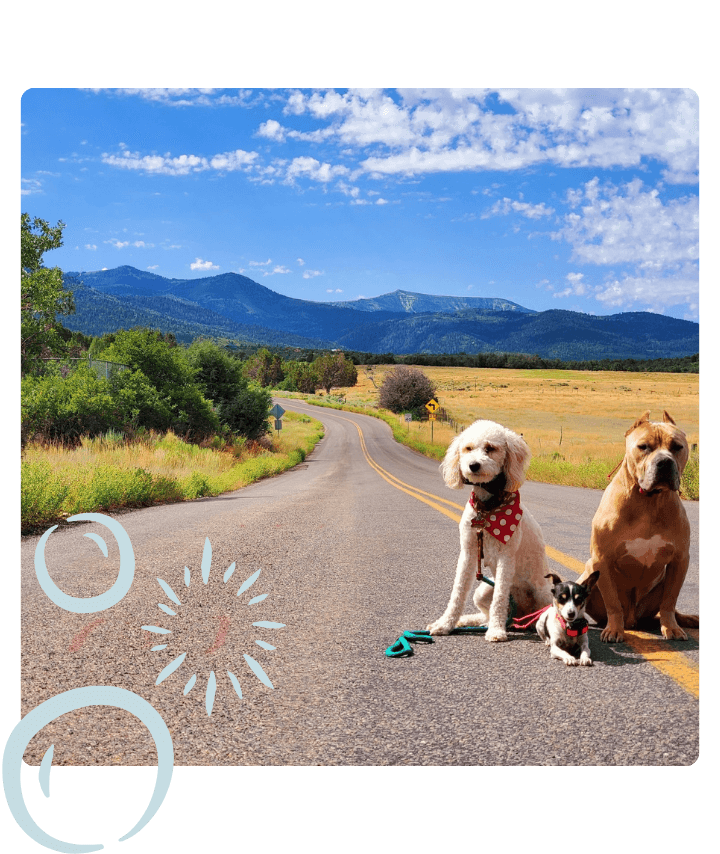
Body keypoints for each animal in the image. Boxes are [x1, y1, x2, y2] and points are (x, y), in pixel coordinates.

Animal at [428, 422, 552, 640]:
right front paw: (445, 624)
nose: (473, 465)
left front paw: (496, 630)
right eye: (468, 448)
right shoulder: (468, 553)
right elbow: (457, 593)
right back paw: (471, 621)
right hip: (483, 591)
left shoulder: (506, 557)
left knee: (537, 615)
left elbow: (500, 597)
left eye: (490, 448)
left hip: (542, 593)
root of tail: (520, 614)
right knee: (484, 614)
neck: (487, 509)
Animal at [584, 412, 700, 640]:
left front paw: (671, 628)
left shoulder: (680, 560)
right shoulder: (601, 559)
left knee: (666, 609)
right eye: (643, 446)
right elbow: (613, 602)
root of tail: (633, 620)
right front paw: (614, 629)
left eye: (677, 446)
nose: (664, 462)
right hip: (587, 574)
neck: (648, 502)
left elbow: (669, 601)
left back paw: (688, 619)